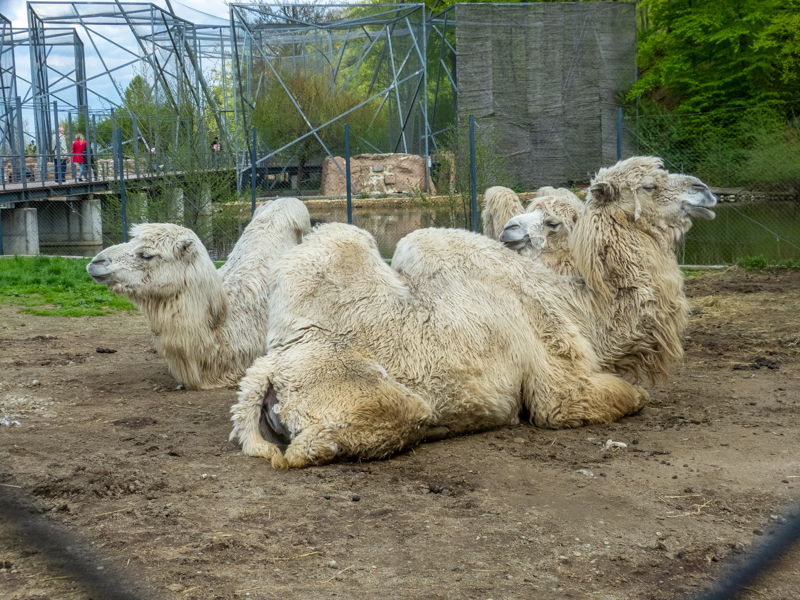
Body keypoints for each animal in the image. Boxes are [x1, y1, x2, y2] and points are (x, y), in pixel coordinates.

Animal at [229, 157, 716, 469]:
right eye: (650, 185)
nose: (705, 191)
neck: (579, 307)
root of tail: (267, 372)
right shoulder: (559, 386)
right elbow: (631, 396)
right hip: (352, 392)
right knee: (308, 450)